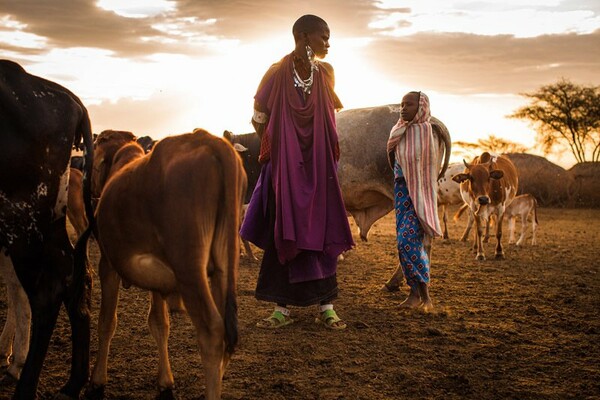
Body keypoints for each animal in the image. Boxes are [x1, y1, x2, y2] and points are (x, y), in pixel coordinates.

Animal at [0, 57, 94, 398]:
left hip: (22, 217)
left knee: (46, 291)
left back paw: (25, 386)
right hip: (47, 219)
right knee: (75, 274)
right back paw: (74, 381)